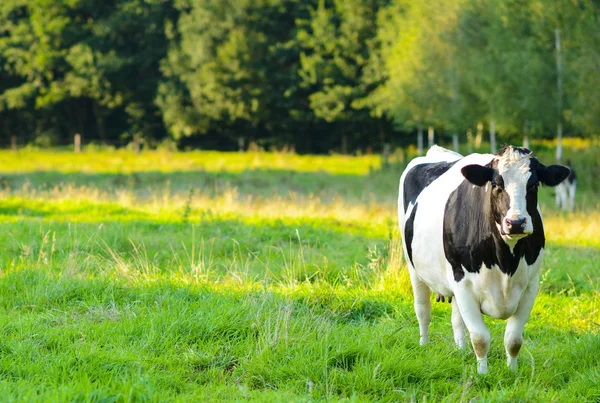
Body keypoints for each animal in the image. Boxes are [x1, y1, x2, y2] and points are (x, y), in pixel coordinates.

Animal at [398, 146, 572, 376]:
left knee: (457, 319)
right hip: (414, 268)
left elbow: (513, 340)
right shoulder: (463, 282)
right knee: (423, 309)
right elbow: (480, 338)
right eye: (496, 184)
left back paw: (461, 350)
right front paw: (482, 374)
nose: (516, 222)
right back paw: (424, 344)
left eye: (534, 184)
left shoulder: (530, 287)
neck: (506, 262)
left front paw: (512, 372)